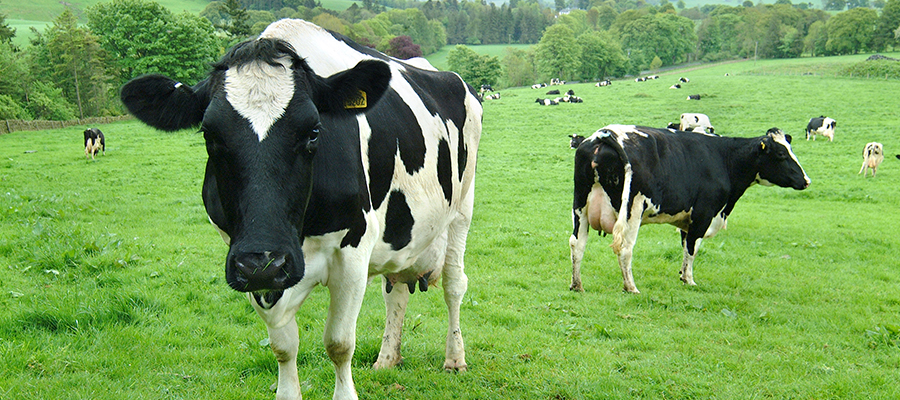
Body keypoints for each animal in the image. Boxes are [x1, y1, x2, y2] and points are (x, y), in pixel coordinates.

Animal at [122, 18, 486, 400]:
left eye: (313, 131)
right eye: (209, 134)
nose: (264, 260)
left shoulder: (353, 253)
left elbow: (339, 343)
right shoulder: (250, 266)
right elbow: (283, 346)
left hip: (462, 210)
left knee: (454, 283)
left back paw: (455, 358)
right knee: (395, 289)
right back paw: (387, 358)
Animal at [568, 125, 808, 294]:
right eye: (781, 155)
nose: (806, 180)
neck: (724, 158)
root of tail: (604, 134)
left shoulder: (687, 219)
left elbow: (685, 246)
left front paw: (682, 274)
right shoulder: (704, 213)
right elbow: (693, 248)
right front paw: (689, 280)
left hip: (580, 206)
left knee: (577, 243)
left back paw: (577, 285)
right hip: (632, 210)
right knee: (625, 248)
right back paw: (631, 287)